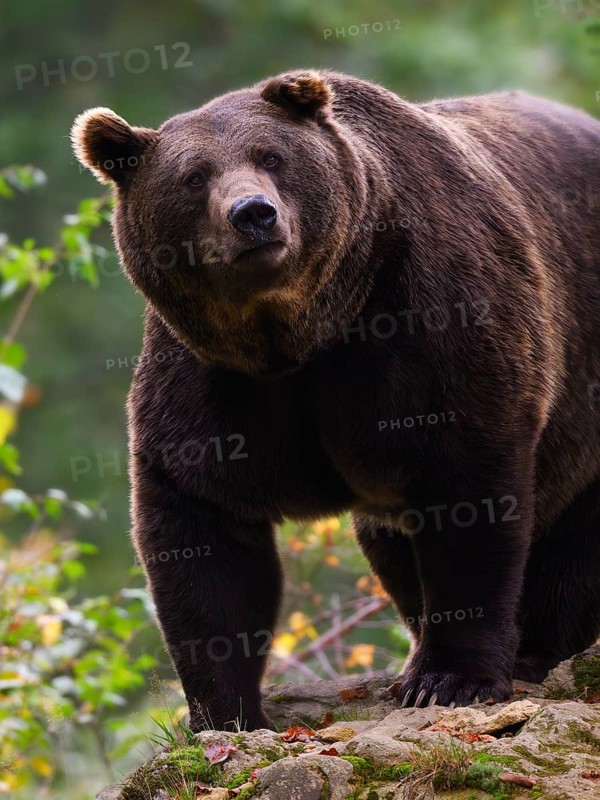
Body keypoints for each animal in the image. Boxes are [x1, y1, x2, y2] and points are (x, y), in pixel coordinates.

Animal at [71, 70, 600, 731]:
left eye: (272, 156)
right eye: (193, 176)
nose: (253, 214)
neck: (305, 330)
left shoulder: (434, 322)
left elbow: (468, 495)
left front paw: (450, 679)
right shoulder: (212, 377)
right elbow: (203, 529)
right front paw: (225, 711)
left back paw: (537, 647)